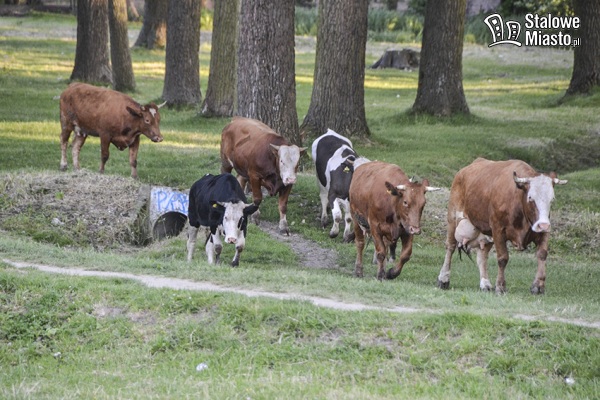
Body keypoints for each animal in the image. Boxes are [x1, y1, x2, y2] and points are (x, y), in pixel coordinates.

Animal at [437, 158, 568, 294]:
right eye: (530, 198)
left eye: (552, 199)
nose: (543, 225)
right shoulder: (498, 229)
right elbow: (502, 258)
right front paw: (500, 286)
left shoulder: (542, 231)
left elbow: (542, 254)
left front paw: (538, 285)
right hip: (453, 218)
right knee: (450, 247)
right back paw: (443, 279)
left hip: (485, 231)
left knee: (482, 256)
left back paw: (485, 283)